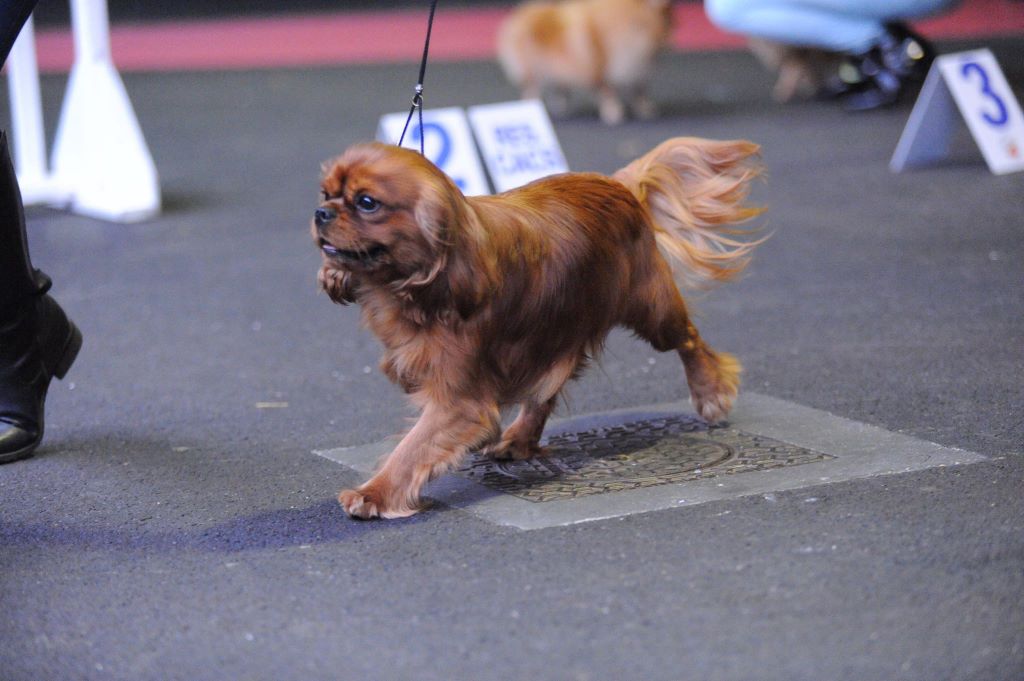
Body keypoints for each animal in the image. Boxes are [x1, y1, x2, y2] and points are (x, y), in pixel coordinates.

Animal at [315, 139, 765, 520]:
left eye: (367, 203)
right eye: (324, 194)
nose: (321, 213)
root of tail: (617, 184)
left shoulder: (459, 402)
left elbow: (411, 450)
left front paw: (373, 494)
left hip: (651, 311)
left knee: (689, 338)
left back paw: (711, 391)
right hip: (555, 331)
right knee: (546, 389)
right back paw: (519, 439)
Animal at [495, 0, 671, 124]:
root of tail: (520, 16)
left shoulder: (638, 71)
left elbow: (639, 93)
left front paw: (645, 109)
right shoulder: (604, 70)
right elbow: (608, 93)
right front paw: (613, 113)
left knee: (559, 91)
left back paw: (561, 107)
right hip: (532, 74)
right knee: (531, 91)